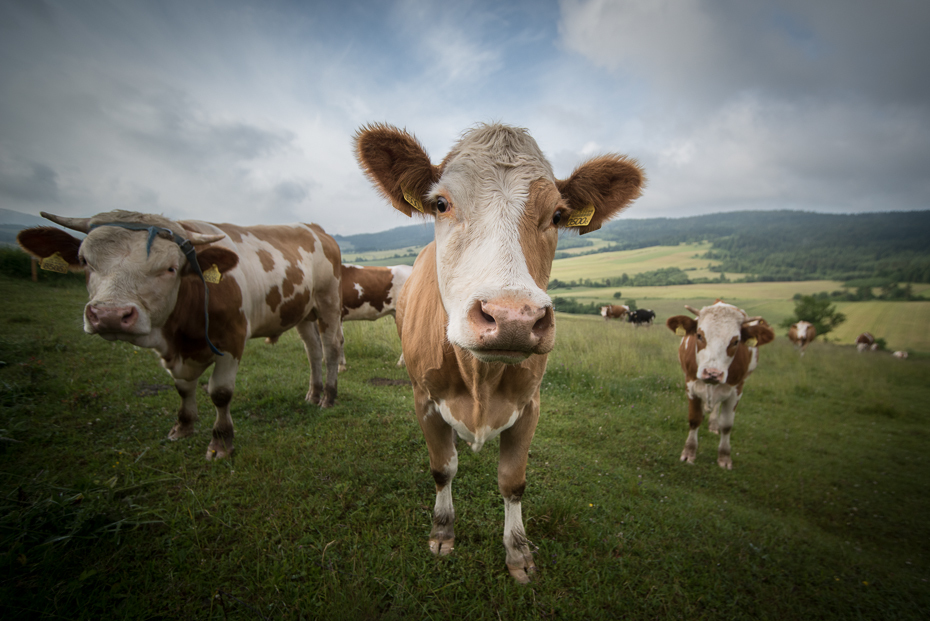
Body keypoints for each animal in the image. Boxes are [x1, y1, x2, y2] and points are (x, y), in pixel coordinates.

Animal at [17, 211, 344, 458]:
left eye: (171, 268)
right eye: (85, 261)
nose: (110, 315)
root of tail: (314, 228)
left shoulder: (232, 339)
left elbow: (220, 392)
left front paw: (221, 442)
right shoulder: (175, 351)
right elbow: (183, 388)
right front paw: (183, 428)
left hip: (328, 302)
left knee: (330, 349)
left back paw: (328, 397)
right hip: (303, 313)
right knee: (313, 351)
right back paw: (313, 394)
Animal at [356, 121, 644, 580]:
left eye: (558, 215)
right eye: (441, 203)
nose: (513, 318)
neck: (480, 378)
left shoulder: (530, 405)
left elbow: (513, 481)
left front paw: (518, 551)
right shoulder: (423, 399)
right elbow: (443, 467)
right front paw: (443, 532)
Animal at [664, 302, 772, 470]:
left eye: (735, 341)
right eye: (699, 335)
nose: (712, 373)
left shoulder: (736, 390)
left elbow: (727, 425)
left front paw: (724, 457)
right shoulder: (690, 384)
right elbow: (694, 419)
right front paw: (689, 453)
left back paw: (714, 424)